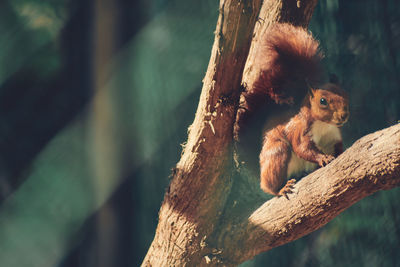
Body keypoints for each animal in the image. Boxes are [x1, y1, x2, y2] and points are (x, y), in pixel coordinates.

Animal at [233, 23, 348, 198]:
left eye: (345, 94)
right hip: (277, 153)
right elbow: (302, 148)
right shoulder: (300, 129)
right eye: (323, 101)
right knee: (269, 185)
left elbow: (338, 147)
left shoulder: (333, 136)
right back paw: (281, 188)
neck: (323, 124)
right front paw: (322, 158)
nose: (344, 115)